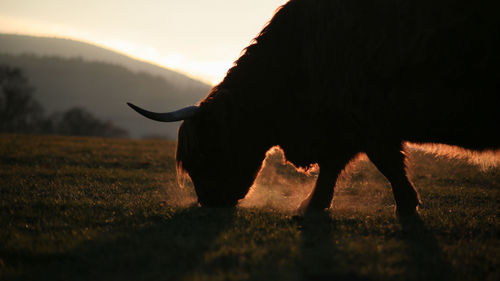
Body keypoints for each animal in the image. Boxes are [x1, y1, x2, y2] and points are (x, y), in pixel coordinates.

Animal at [126, 0, 500, 215]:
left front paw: (408, 204)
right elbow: (334, 168)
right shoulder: (346, 128)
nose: (209, 201)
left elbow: (386, 164)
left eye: (204, 153)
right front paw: (314, 203)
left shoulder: (366, 122)